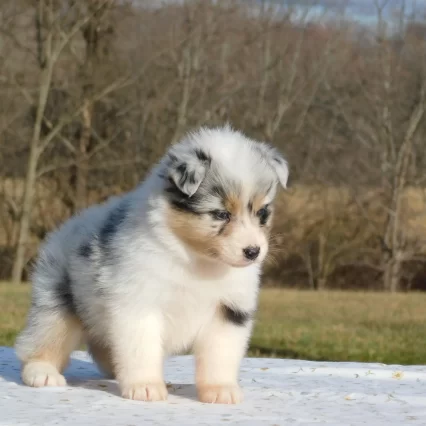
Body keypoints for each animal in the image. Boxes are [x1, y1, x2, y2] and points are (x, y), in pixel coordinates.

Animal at [15, 125, 290, 404]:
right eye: (221, 214)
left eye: (262, 212)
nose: (253, 252)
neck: (196, 258)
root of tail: (68, 225)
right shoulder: (139, 302)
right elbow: (141, 348)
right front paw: (145, 387)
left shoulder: (230, 309)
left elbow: (220, 353)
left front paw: (221, 389)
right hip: (57, 302)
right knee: (41, 338)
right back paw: (42, 373)